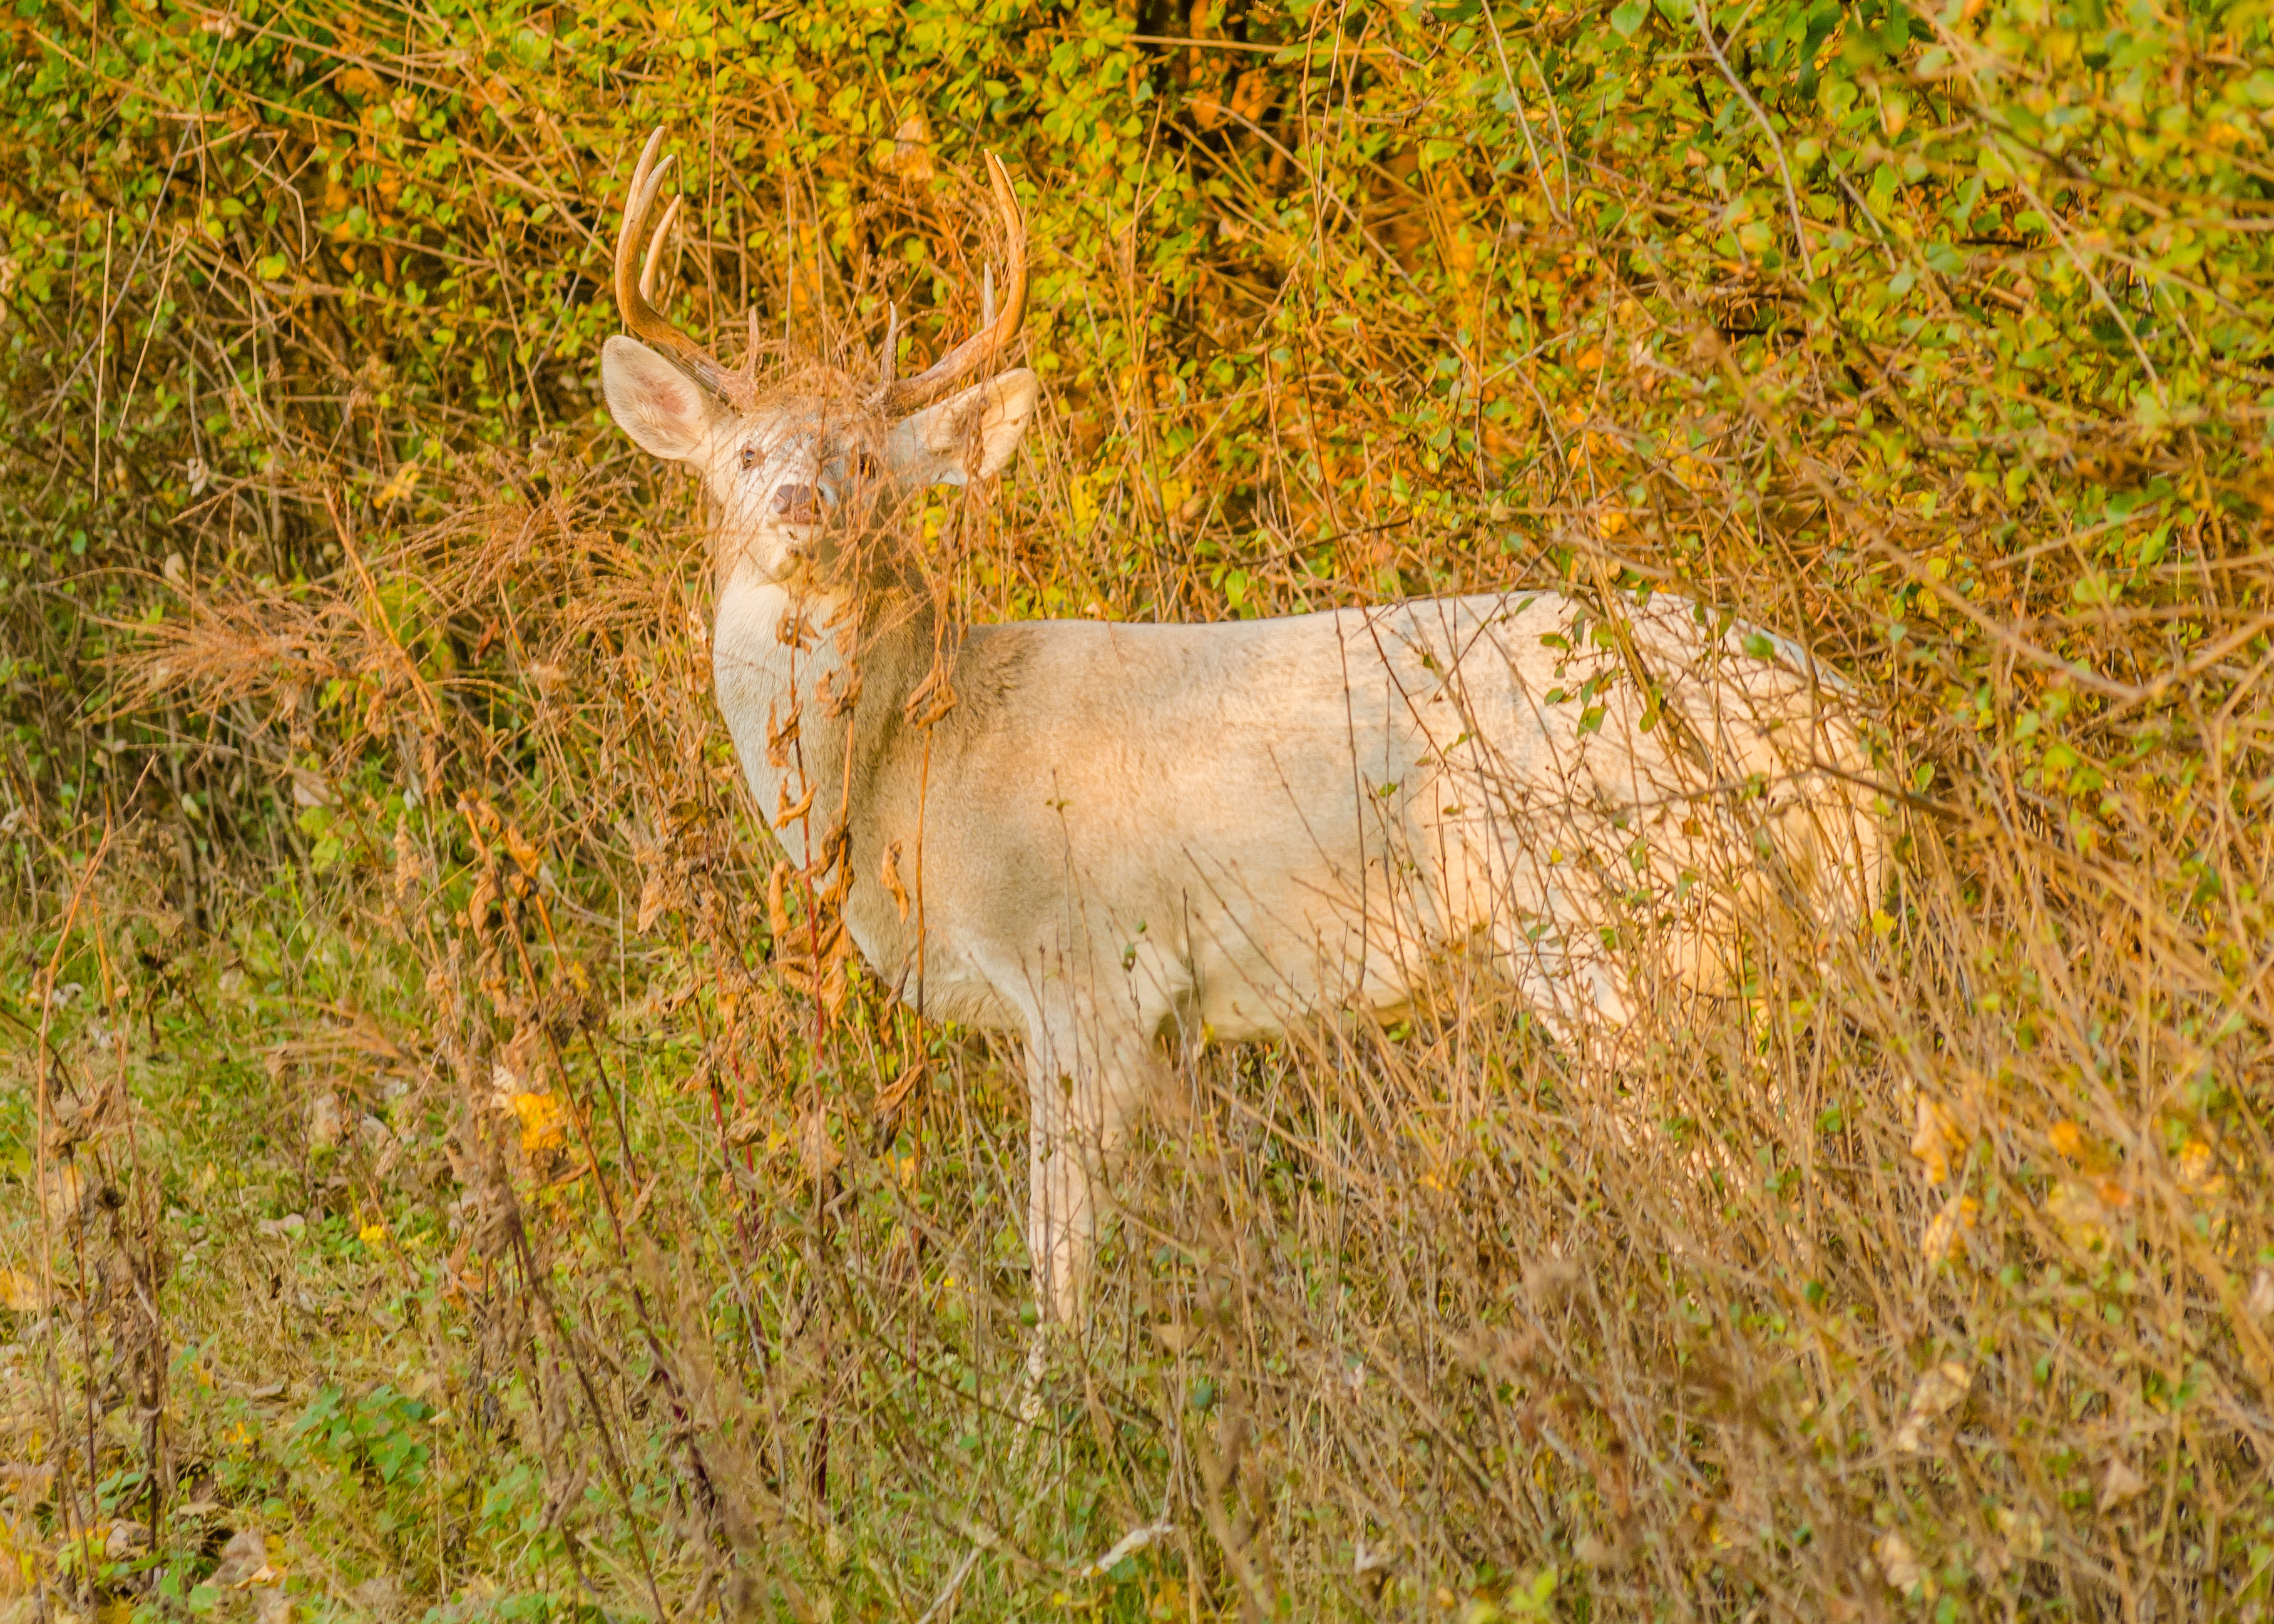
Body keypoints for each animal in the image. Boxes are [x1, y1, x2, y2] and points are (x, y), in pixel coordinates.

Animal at [600, 133, 1883, 1328]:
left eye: (867, 460)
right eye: (744, 452)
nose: (801, 507)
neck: (913, 773)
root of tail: (1835, 734)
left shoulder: (1089, 975)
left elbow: (1058, 1259)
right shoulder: (1171, 1027)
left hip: (1612, 931)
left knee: (1717, 1173)